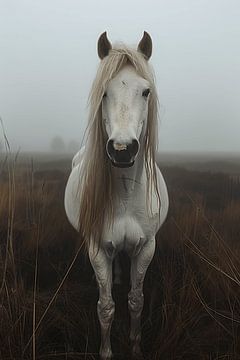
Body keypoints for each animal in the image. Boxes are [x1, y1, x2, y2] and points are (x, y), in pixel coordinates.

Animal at [64, 32, 169, 358]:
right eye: (104, 93)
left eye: (146, 92)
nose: (122, 150)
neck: (125, 195)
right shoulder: (98, 249)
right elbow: (106, 307)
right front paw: (106, 352)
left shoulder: (146, 247)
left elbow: (136, 300)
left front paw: (135, 347)